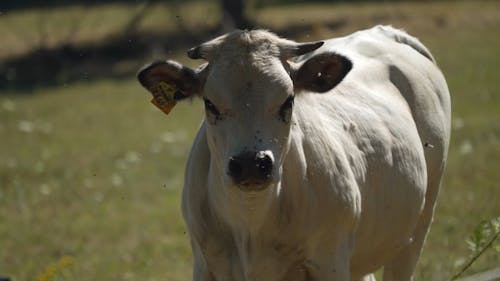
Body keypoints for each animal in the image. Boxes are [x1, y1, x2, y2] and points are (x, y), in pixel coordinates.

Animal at [139, 25, 452, 278]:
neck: (251, 221)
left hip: (417, 228)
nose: (251, 164)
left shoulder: (331, 262)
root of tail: (385, 32)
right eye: (210, 104)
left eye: (288, 101)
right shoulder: (204, 264)